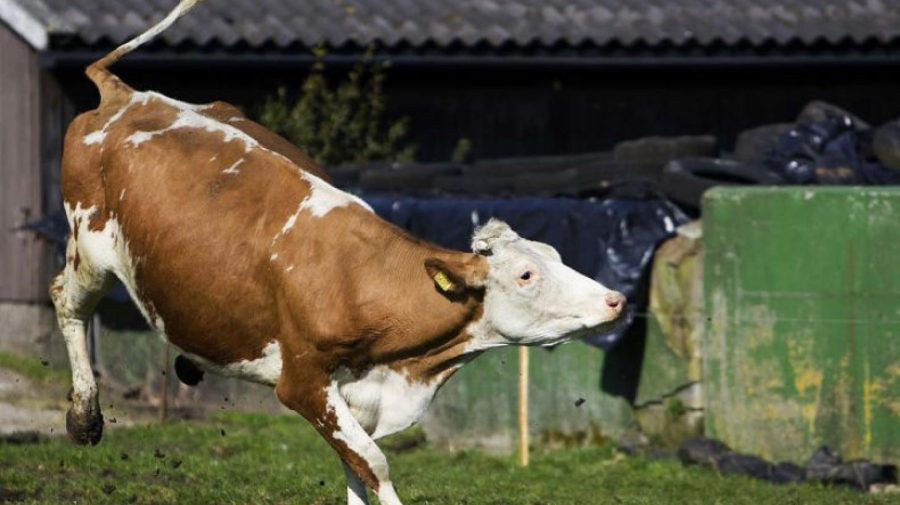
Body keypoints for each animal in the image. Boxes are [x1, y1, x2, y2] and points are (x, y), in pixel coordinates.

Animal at [49, 1, 626, 503]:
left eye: (555, 254)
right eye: (526, 274)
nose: (616, 300)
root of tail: (129, 96)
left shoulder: (358, 394)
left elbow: (355, 467)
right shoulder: (303, 382)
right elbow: (375, 465)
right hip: (91, 250)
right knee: (66, 302)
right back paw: (84, 417)